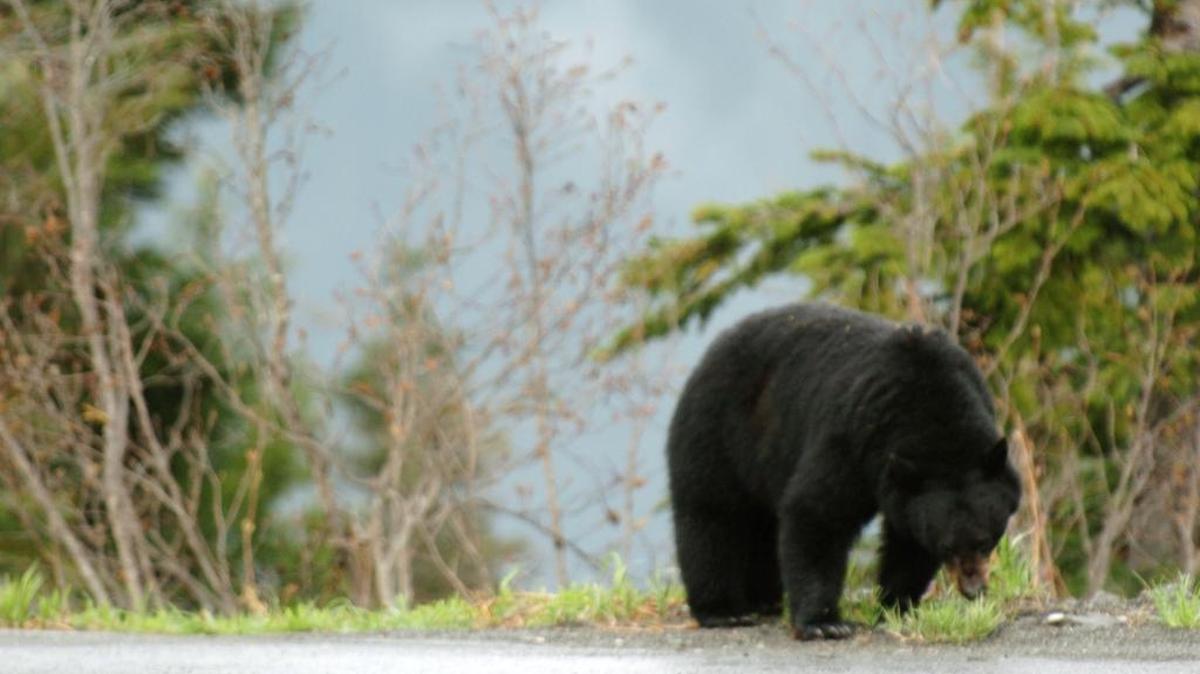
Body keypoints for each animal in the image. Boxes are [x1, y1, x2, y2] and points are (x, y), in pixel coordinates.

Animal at [666, 302, 1021, 640]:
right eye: (947, 547)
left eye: (985, 541)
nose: (973, 590)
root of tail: (714, 347)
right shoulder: (852, 438)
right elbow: (818, 513)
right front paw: (824, 623)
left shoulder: (907, 482)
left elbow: (908, 541)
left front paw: (896, 606)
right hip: (717, 430)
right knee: (711, 517)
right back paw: (723, 611)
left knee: (760, 523)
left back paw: (764, 600)